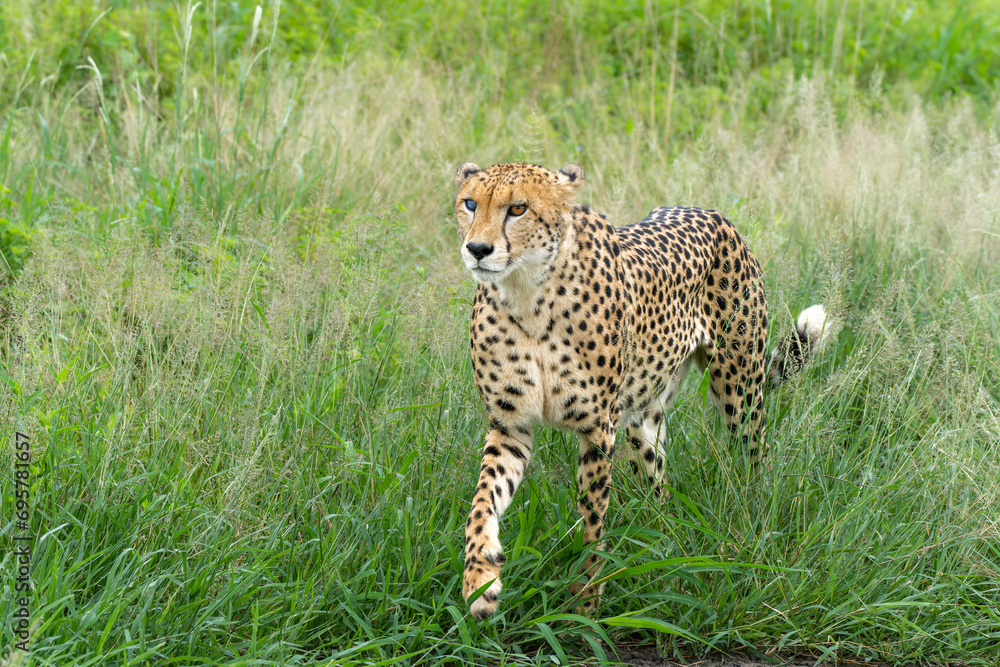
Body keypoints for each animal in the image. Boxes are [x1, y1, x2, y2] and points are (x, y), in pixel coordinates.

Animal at [453, 161, 833, 620]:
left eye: (518, 208)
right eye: (470, 204)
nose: (477, 248)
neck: (527, 293)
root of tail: (710, 212)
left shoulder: (599, 429)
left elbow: (593, 520)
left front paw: (586, 603)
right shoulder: (511, 425)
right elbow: (482, 503)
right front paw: (480, 580)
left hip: (740, 391)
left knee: (755, 458)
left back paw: (754, 520)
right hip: (644, 420)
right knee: (658, 488)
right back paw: (663, 547)